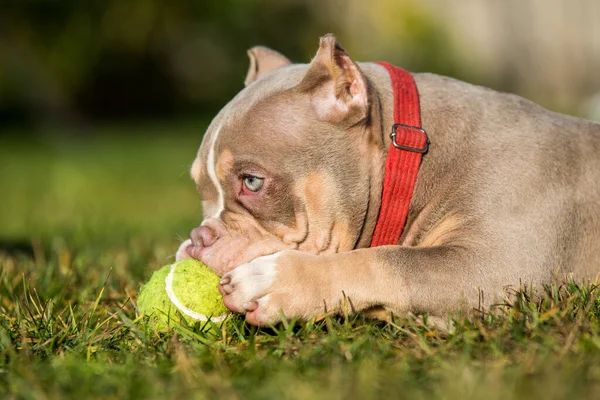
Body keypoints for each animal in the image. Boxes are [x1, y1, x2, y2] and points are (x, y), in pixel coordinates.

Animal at [175, 34, 600, 326]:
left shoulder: (500, 268)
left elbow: (389, 260)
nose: (198, 238)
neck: (418, 160)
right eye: (199, 190)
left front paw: (278, 278)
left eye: (252, 182)